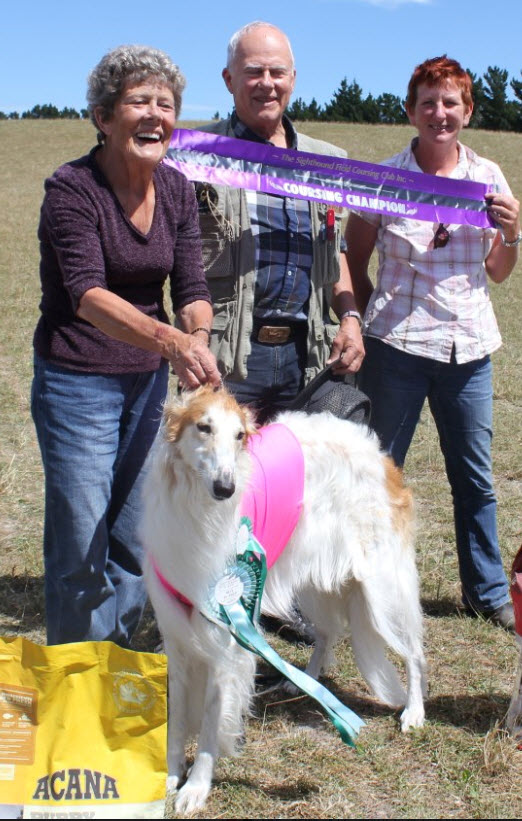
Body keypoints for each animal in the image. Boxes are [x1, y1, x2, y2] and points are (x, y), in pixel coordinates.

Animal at [140, 386, 424, 812]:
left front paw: (196, 788)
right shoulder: (177, 633)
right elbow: (176, 721)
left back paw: (414, 711)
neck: (197, 512)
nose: (225, 488)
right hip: (316, 580)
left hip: (383, 585)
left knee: (413, 650)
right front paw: (171, 778)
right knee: (328, 633)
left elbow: (210, 725)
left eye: (240, 436)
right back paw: (304, 681)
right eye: (203, 427)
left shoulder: (227, 635)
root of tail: (378, 453)